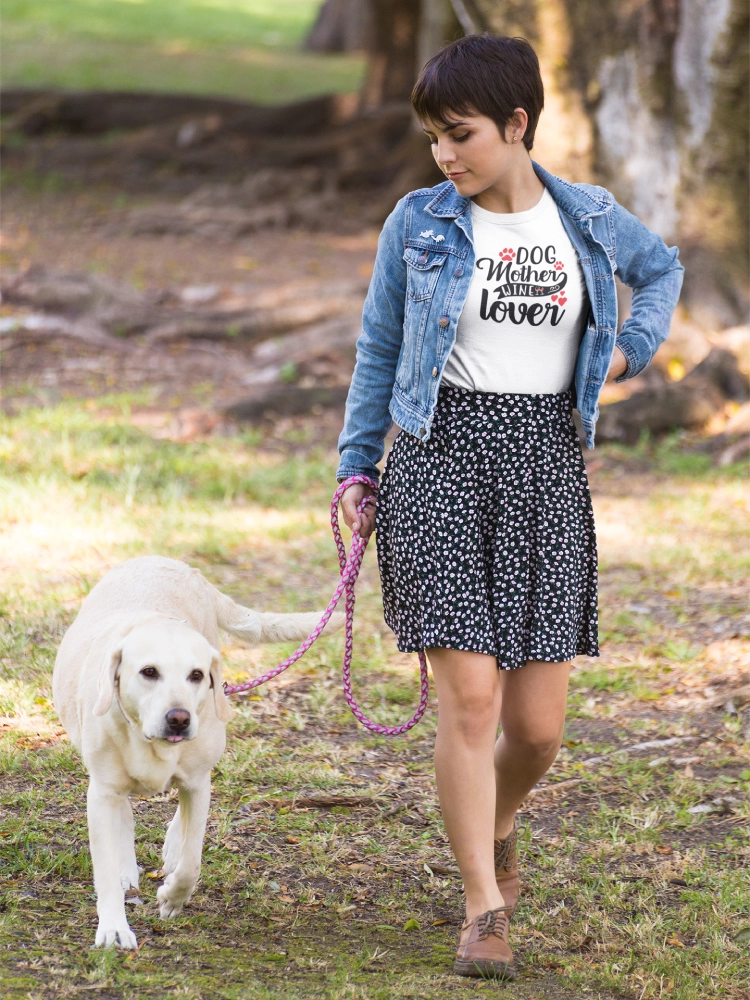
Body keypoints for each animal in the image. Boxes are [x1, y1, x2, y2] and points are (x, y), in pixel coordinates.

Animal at [53, 560, 344, 948]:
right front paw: (114, 927)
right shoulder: (102, 792)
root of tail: (169, 562)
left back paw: (173, 848)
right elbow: (106, 866)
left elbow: (192, 860)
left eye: (196, 675)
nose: (179, 719)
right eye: (148, 672)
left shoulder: (197, 783)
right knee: (124, 814)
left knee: (184, 819)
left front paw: (173, 896)